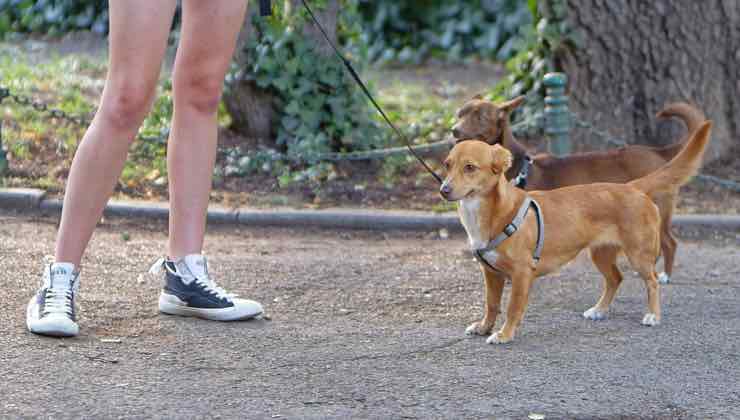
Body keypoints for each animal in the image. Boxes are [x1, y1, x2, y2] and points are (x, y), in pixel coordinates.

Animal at [440, 120, 712, 344]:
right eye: (447, 165)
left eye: (470, 167)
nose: (443, 190)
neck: (490, 213)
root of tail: (632, 187)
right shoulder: (491, 273)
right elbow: (491, 304)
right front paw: (484, 327)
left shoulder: (521, 274)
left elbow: (511, 308)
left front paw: (504, 334)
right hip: (600, 254)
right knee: (616, 279)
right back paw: (600, 310)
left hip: (639, 255)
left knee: (652, 281)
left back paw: (653, 315)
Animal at [450, 97, 704, 284]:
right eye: (459, 114)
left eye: (480, 116)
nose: (454, 130)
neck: (518, 168)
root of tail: (658, 153)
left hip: (657, 212)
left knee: (670, 243)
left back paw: (665, 276)